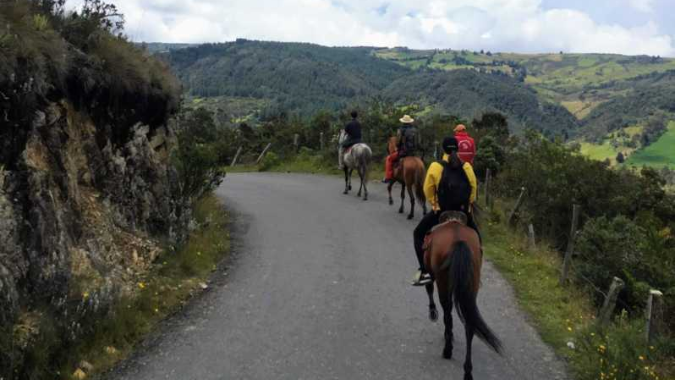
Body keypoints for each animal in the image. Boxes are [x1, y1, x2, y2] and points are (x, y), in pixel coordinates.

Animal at [422, 211, 502, 380]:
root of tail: (458, 240)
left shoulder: (430, 272)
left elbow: (429, 288)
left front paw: (432, 312)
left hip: (443, 282)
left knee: (447, 313)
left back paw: (447, 349)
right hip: (471, 286)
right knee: (469, 324)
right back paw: (468, 371)